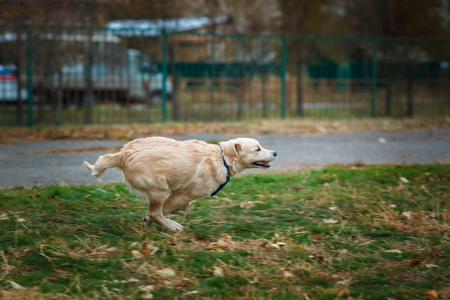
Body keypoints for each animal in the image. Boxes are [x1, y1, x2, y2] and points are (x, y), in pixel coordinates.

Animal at [82, 137, 276, 231]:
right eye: (257, 149)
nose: (275, 152)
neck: (222, 160)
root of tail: (123, 154)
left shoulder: (181, 195)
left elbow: (180, 206)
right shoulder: (182, 194)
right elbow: (162, 210)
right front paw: (149, 221)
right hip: (159, 188)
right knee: (155, 212)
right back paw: (172, 226)